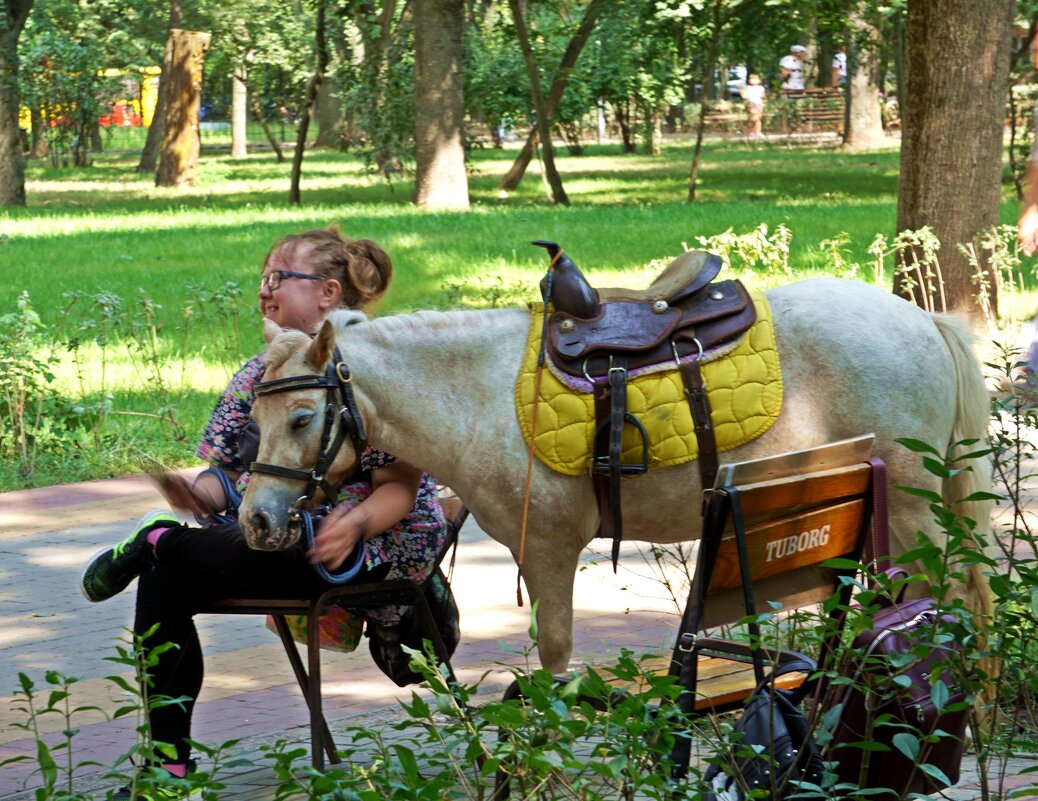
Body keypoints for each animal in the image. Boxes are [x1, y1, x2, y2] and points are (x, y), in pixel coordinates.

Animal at [238, 278, 992, 672]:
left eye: (301, 417)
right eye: (251, 414)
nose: (256, 520)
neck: (478, 394)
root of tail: (924, 319)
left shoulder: (547, 548)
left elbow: (554, 653)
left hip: (913, 501)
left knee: (941, 590)